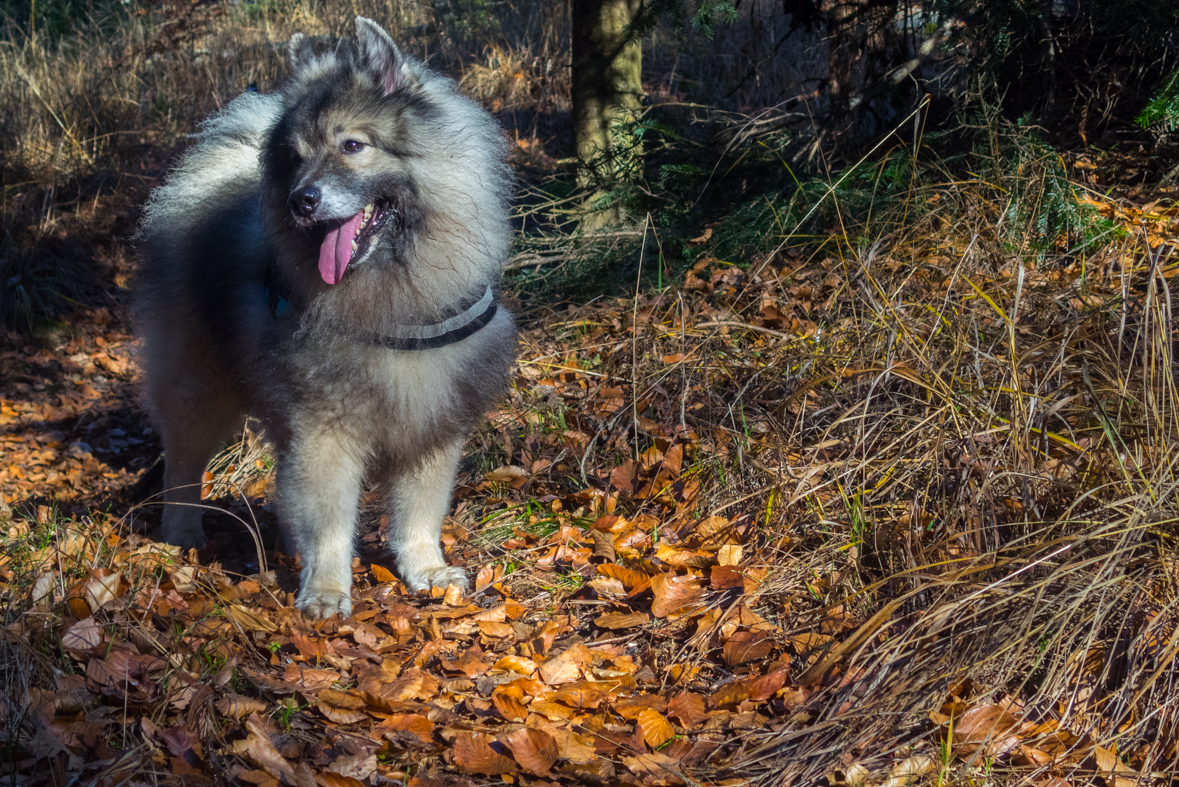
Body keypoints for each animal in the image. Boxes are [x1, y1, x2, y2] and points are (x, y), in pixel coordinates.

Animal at [133, 15, 516, 622]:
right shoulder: (325, 425)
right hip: (199, 389)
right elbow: (330, 515)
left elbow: (420, 511)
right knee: (183, 465)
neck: (391, 290)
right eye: (295, 156)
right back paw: (182, 532)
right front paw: (328, 590)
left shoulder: (430, 420)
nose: (300, 201)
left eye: (352, 146)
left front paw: (426, 570)